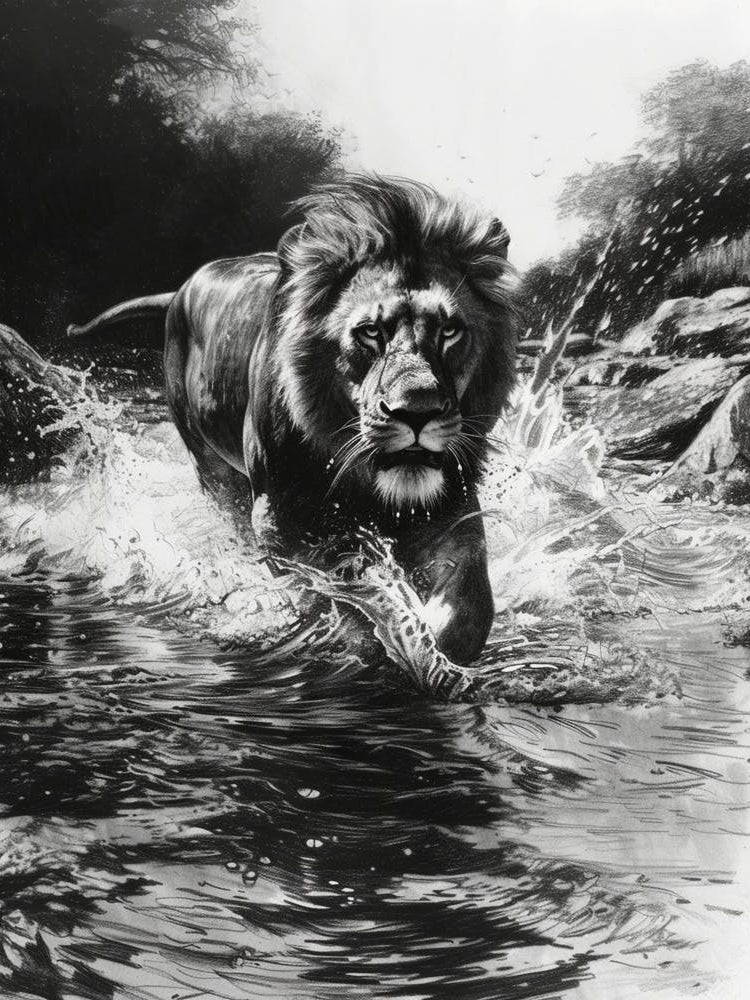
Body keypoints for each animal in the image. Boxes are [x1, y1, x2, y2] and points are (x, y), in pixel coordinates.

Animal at [68, 175, 519, 664]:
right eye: (370, 332)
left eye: (450, 331)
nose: (417, 411)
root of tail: (182, 288)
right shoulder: (278, 521)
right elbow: (332, 596)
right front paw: (375, 632)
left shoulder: (452, 506)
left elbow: (470, 602)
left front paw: (432, 651)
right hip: (212, 468)